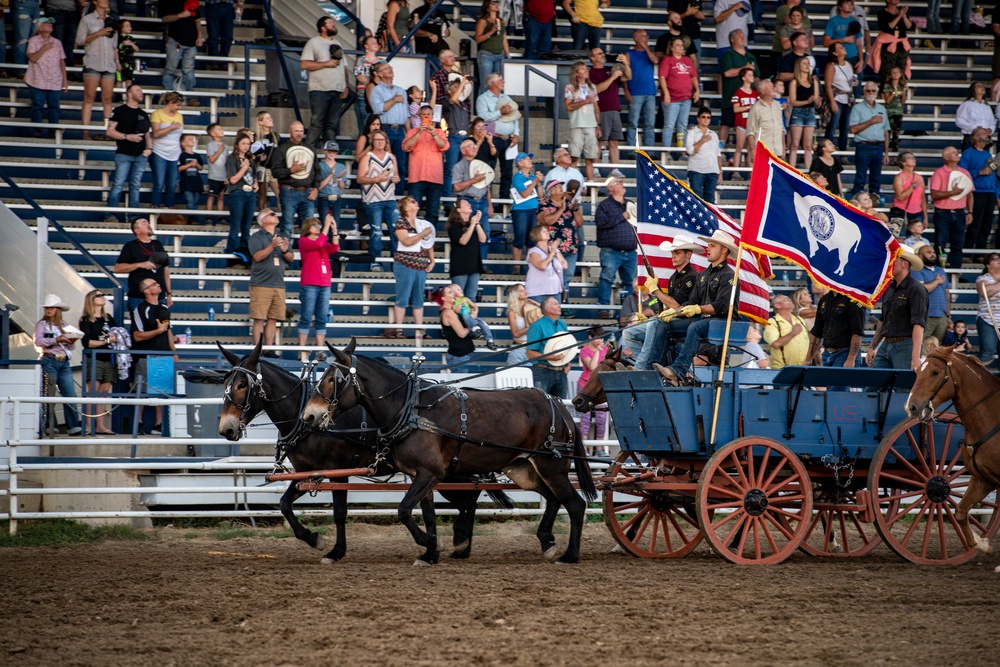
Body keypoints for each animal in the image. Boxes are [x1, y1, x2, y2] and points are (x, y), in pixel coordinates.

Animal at [218, 340, 508, 564]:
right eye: (225, 384)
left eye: (242, 385)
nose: (226, 429)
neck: (303, 421)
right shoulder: (308, 473)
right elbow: (284, 504)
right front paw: (313, 538)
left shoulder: (337, 472)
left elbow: (339, 513)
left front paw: (334, 551)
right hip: (448, 472)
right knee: (467, 501)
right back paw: (457, 547)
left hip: (447, 471)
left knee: (468, 500)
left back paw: (454, 545)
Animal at [296, 340, 592, 564]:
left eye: (332, 379)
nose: (309, 415)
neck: (411, 409)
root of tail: (557, 403)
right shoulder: (421, 474)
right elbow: (425, 513)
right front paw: (430, 552)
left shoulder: (430, 473)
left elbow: (404, 510)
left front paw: (433, 544)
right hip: (523, 470)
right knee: (553, 499)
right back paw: (547, 542)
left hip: (551, 467)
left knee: (575, 504)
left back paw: (569, 555)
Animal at [908, 348, 1000, 556]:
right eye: (918, 371)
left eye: (935, 372)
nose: (912, 406)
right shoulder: (983, 479)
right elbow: (960, 512)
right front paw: (983, 543)